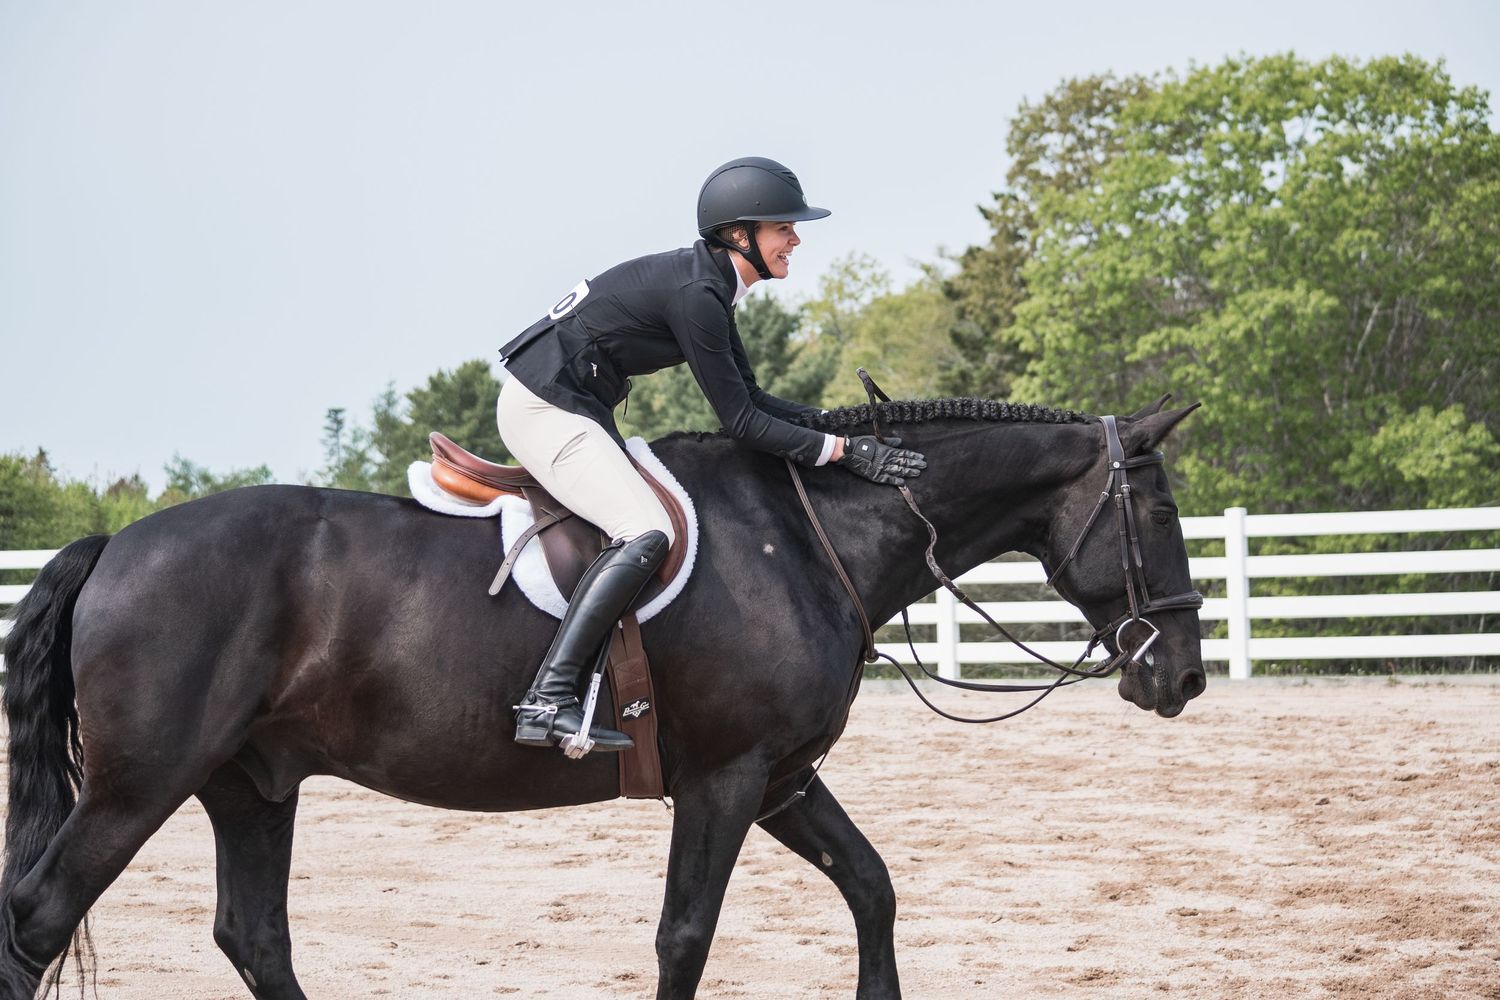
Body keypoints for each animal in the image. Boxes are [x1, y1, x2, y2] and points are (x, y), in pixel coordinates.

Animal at [0, 395, 1205, 999]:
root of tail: (118, 545)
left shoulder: (780, 779)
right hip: (140, 786)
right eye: (1156, 511)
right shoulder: (723, 781)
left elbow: (871, 889)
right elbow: (686, 935)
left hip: (249, 783)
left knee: (254, 937)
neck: (808, 534)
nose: (1182, 676)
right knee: (41, 917)